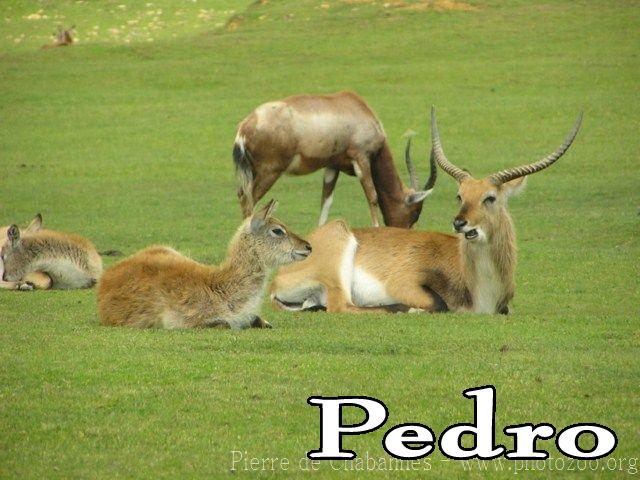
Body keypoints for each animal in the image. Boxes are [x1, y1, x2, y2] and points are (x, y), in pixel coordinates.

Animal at [233, 91, 437, 228]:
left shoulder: (332, 166)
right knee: (248, 198)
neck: (356, 108)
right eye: (415, 212)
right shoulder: (361, 159)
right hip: (270, 171)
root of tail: (245, 126)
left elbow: (326, 202)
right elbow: (373, 197)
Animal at [270, 108, 583, 315]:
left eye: (490, 197)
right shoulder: (406, 285)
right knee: (342, 306)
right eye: (460, 196)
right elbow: (438, 303)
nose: (460, 223)